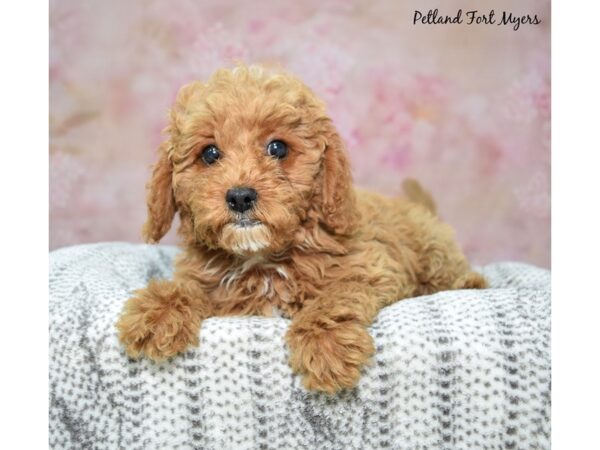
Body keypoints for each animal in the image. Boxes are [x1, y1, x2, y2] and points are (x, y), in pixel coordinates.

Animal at [117, 63, 488, 394]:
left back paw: (468, 284)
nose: (240, 196)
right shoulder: (212, 284)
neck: (263, 260)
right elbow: (187, 288)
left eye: (277, 147)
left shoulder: (370, 269)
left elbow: (333, 298)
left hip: (435, 252)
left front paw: (326, 346)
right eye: (209, 153)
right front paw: (156, 312)